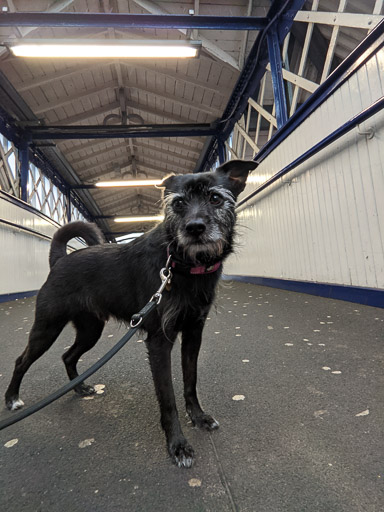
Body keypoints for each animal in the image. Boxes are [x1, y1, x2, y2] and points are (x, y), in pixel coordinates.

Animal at [4, 159, 256, 468]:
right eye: (179, 203)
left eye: (215, 198)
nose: (195, 228)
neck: (182, 263)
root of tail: (60, 259)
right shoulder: (159, 341)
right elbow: (168, 397)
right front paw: (178, 445)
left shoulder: (193, 333)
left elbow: (190, 380)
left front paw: (198, 417)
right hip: (47, 327)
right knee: (21, 360)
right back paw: (12, 398)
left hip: (90, 329)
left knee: (68, 355)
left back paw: (80, 388)